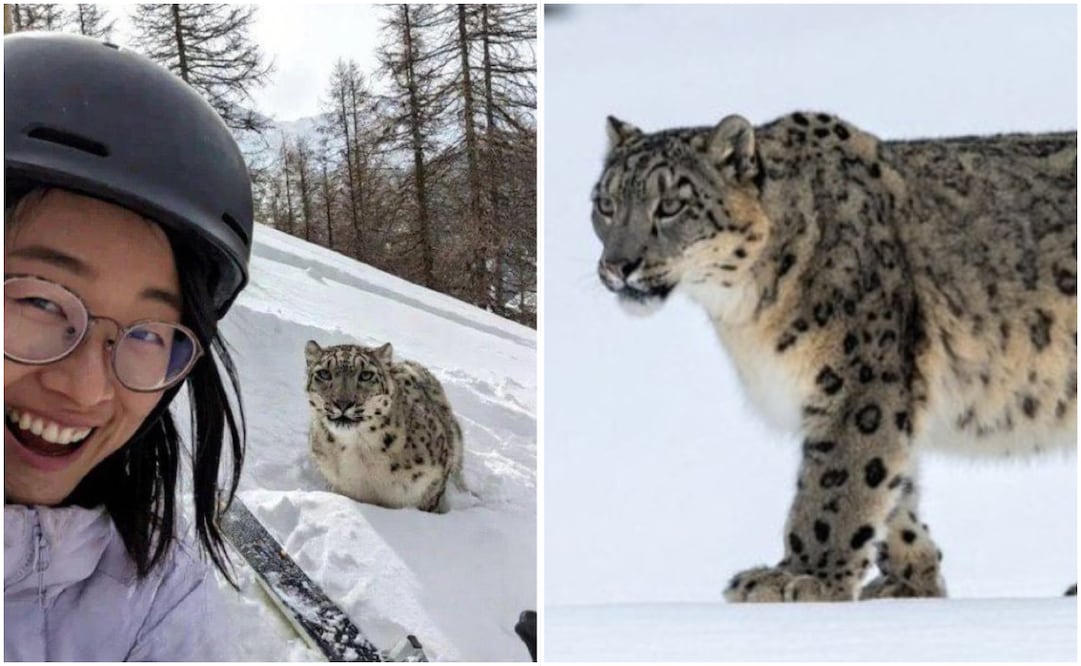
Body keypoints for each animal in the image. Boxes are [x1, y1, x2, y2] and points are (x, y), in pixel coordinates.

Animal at [591, 110, 1076, 602]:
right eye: (605, 204)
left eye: (671, 205)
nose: (617, 265)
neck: (743, 312)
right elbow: (894, 487)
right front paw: (912, 579)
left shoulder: (860, 382)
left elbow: (839, 482)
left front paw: (804, 577)